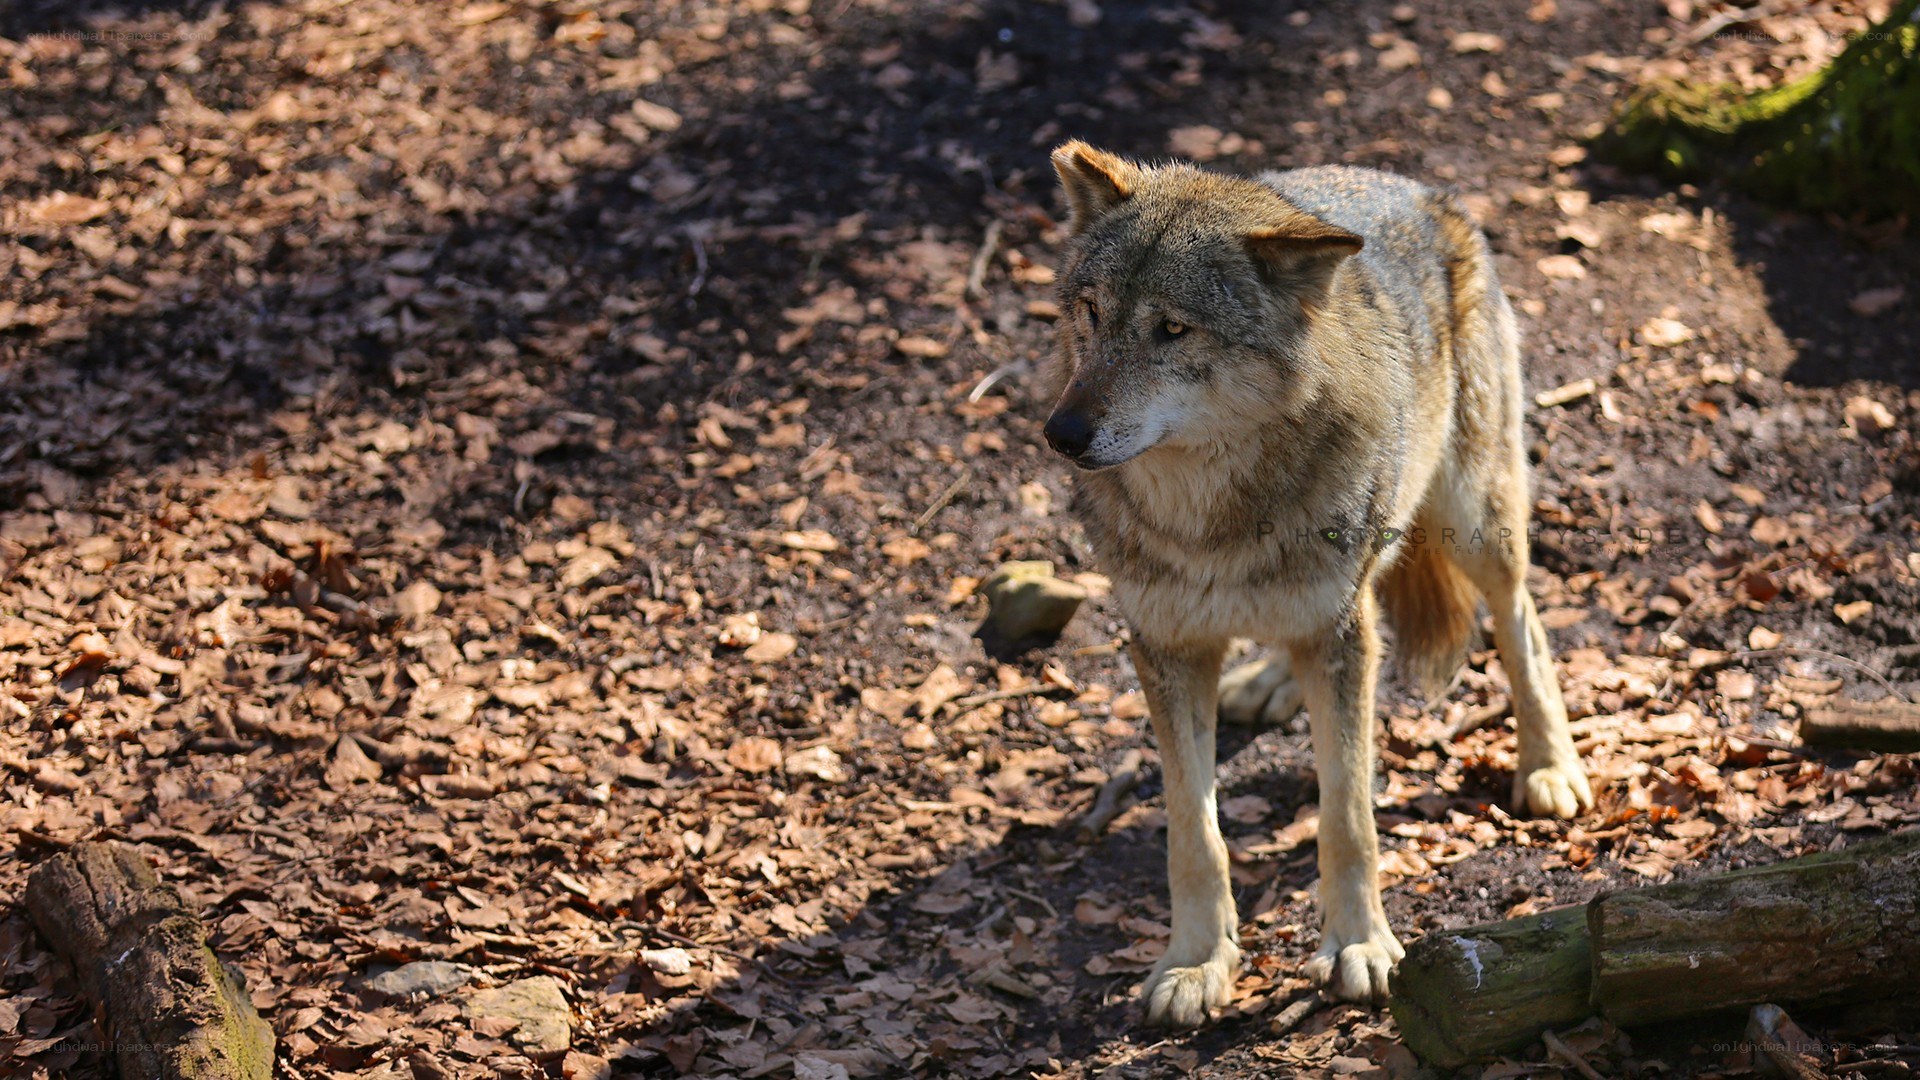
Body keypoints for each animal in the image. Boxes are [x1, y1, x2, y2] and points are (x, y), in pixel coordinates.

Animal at [1041, 142, 1594, 1027]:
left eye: (1172, 329)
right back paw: (1268, 680)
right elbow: (1193, 833)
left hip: (1477, 517)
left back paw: (1550, 767)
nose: (1061, 433)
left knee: (1522, 626)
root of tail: (1413, 183)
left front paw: (1360, 946)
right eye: (1090, 311)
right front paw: (1196, 962)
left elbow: (1348, 816)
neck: (1213, 525)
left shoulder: (1343, 638)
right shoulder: (1166, 648)